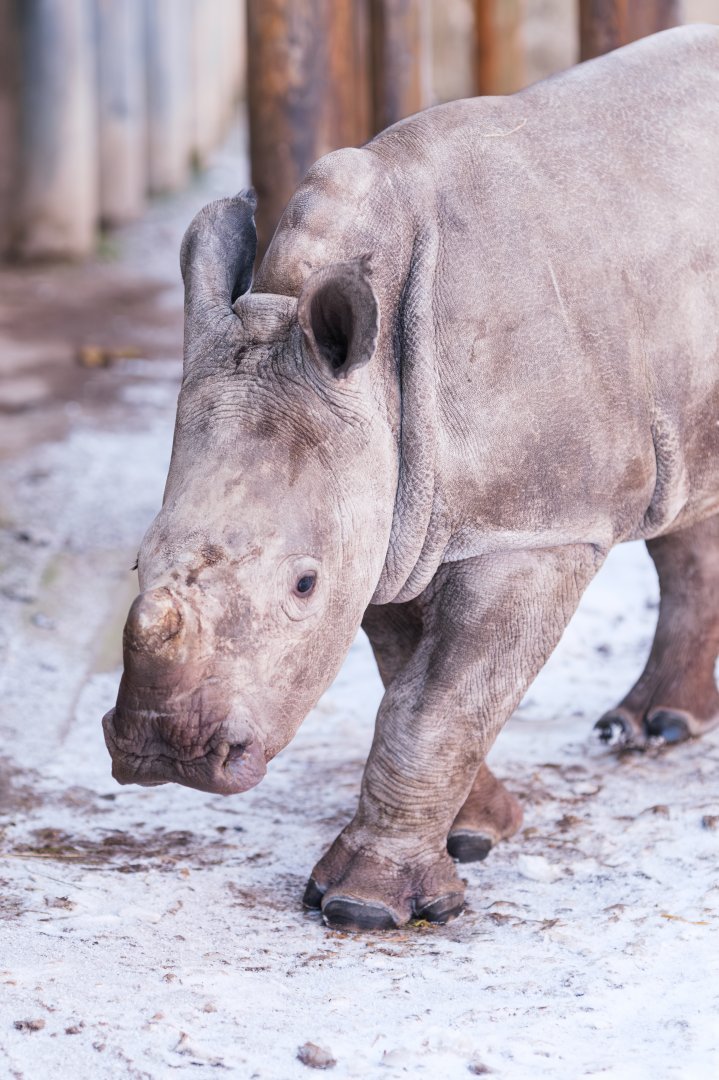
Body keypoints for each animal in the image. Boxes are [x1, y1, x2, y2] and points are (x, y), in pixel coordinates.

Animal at [103, 26, 719, 930]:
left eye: (301, 584)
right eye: (136, 563)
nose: (163, 752)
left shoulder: (532, 529)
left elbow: (436, 704)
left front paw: (363, 905)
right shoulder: (389, 515)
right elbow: (412, 682)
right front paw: (474, 833)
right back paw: (657, 728)